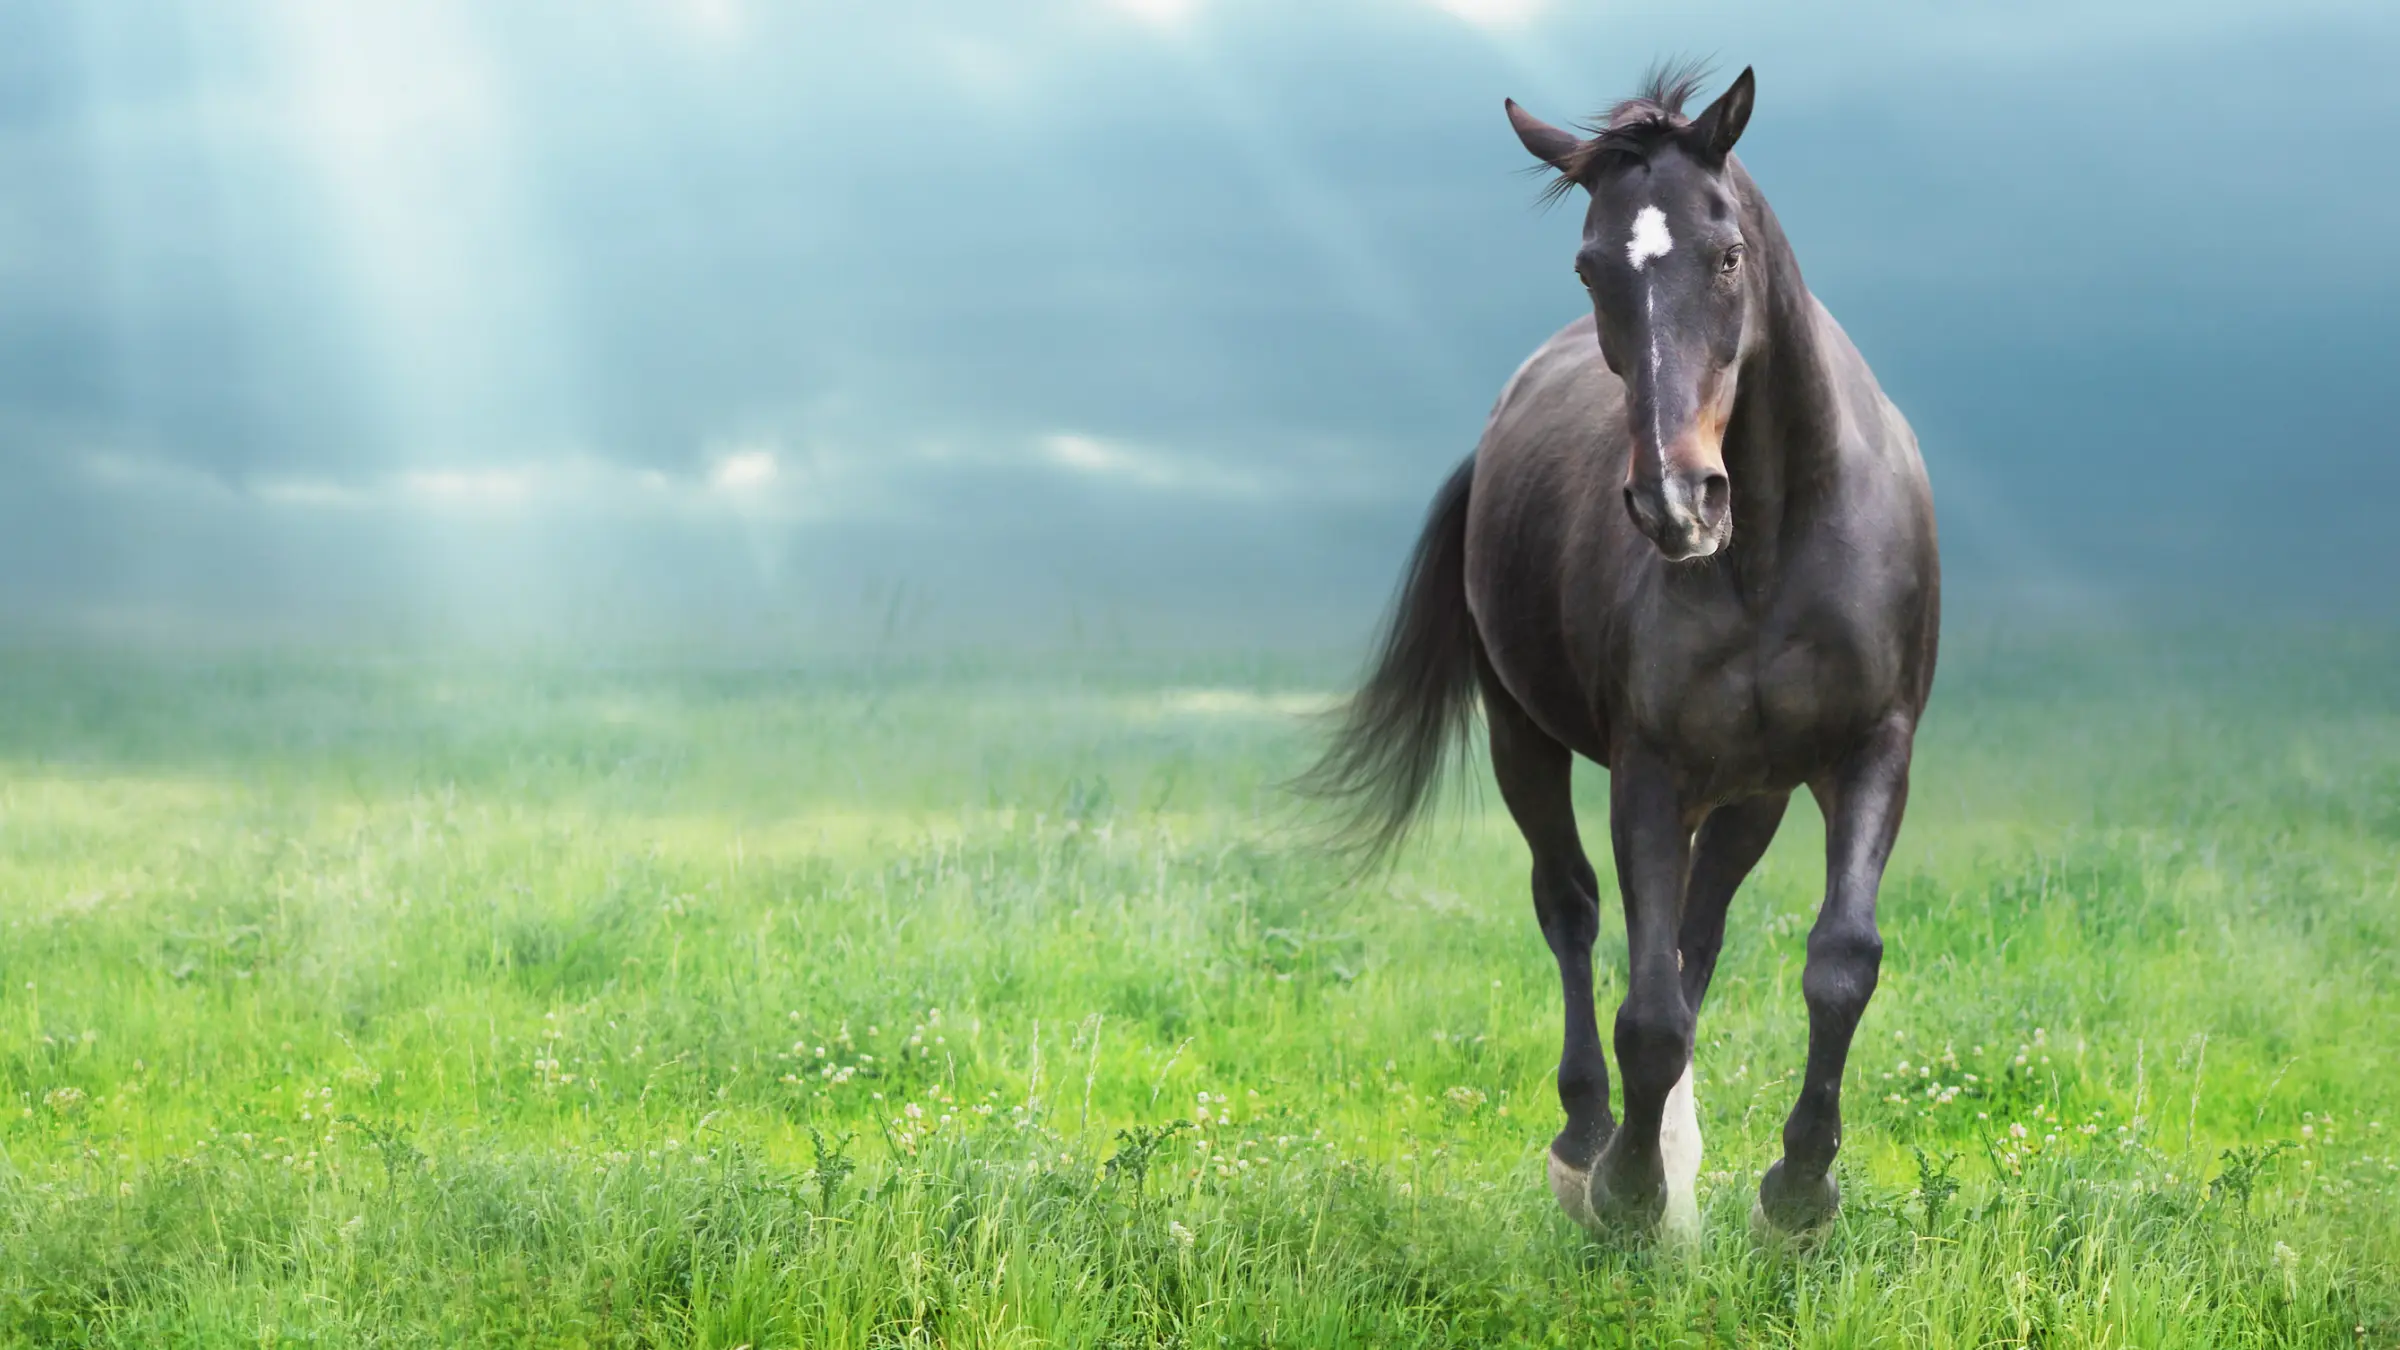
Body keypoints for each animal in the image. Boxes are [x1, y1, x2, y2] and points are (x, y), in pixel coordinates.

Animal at [1298, 64, 1939, 1239]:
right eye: (1591, 265)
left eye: (1725, 254)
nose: (1676, 500)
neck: (1770, 550)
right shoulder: (1649, 767)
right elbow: (1645, 1009)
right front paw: (1630, 1188)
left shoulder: (1872, 750)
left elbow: (1839, 962)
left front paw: (1798, 1192)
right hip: (1525, 739)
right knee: (1573, 911)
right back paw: (1591, 1140)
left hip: (1752, 793)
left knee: (1695, 935)